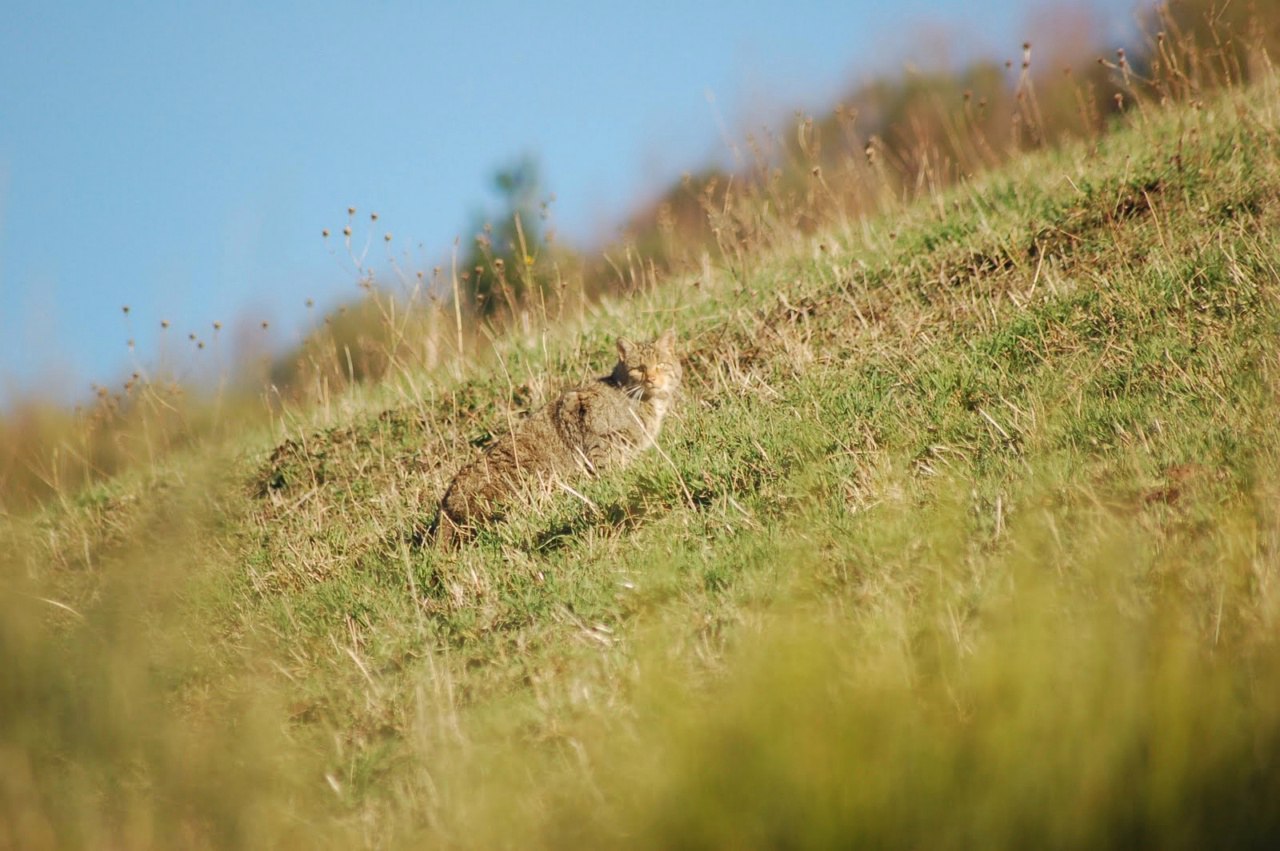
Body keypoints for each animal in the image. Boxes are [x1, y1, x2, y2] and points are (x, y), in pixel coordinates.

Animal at [432, 327, 680, 547]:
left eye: (661, 364)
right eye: (639, 368)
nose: (652, 379)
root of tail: (445, 504)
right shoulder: (597, 439)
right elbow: (609, 470)